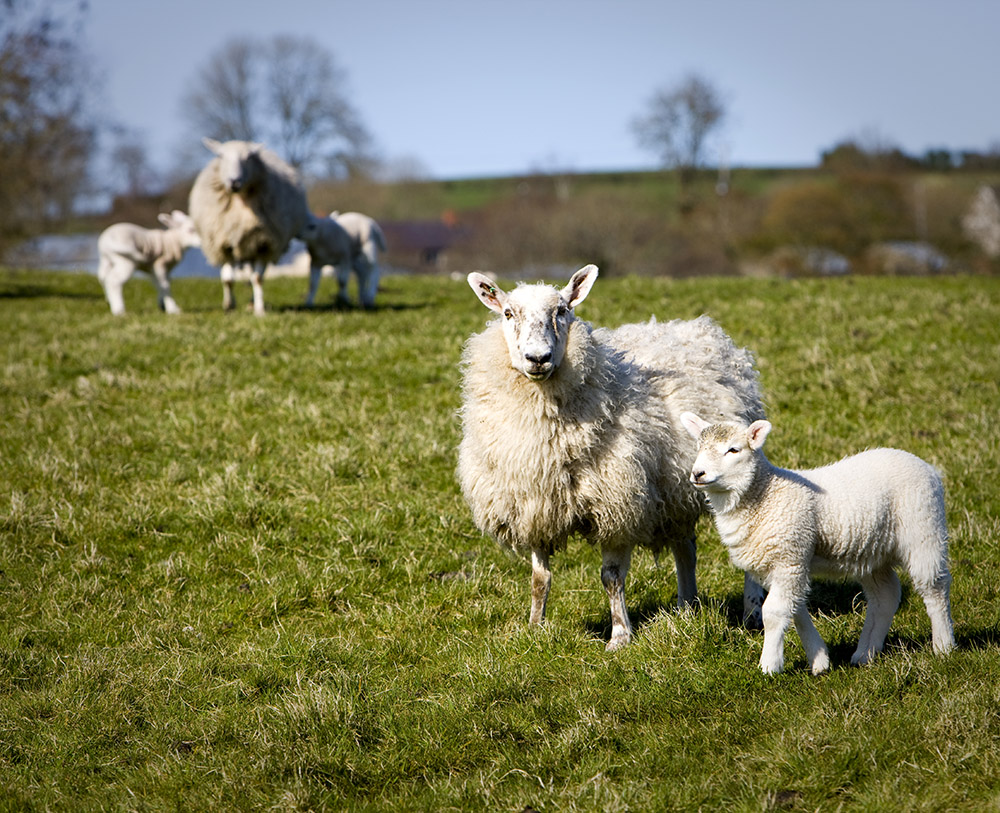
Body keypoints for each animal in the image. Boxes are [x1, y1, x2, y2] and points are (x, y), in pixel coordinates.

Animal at [188, 136, 308, 314]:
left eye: (248, 157)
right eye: (220, 155)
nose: (234, 181)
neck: (241, 199)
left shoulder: (263, 244)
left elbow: (257, 279)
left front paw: (259, 310)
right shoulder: (224, 244)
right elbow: (228, 280)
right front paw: (229, 306)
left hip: (257, 246)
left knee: (256, 275)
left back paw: (252, 303)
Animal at [460, 264, 764, 652]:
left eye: (563, 310)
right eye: (508, 313)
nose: (537, 358)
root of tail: (697, 327)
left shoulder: (618, 502)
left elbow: (612, 577)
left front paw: (620, 636)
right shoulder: (536, 505)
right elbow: (539, 577)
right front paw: (534, 629)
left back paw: (751, 612)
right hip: (675, 487)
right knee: (685, 548)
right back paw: (687, 608)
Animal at [680, 412, 952, 672]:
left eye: (733, 450)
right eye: (699, 447)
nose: (697, 474)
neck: (765, 494)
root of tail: (926, 466)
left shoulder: (789, 557)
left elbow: (773, 612)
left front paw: (769, 665)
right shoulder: (783, 564)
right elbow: (795, 609)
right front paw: (819, 660)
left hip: (924, 530)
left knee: (934, 587)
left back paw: (943, 646)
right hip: (872, 550)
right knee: (885, 596)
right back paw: (866, 654)